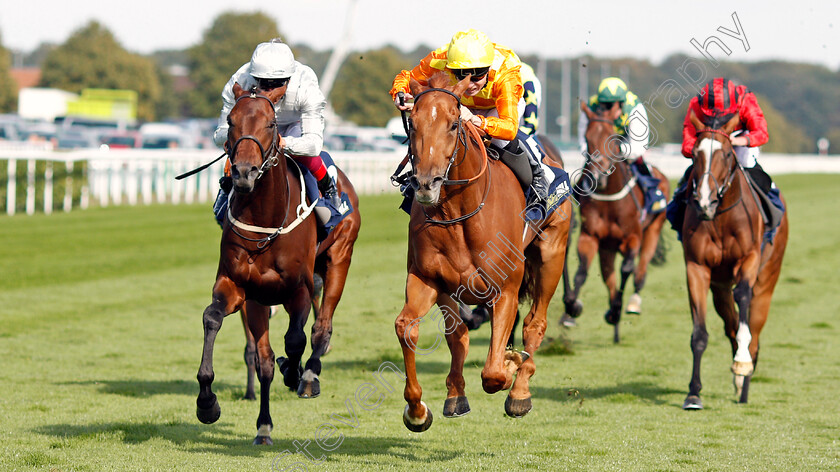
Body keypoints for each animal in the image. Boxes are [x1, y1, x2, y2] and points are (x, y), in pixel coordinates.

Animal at [197, 83, 360, 444]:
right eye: (230, 120)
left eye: (271, 124)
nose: (243, 173)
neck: (266, 221)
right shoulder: (241, 288)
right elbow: (216, 321)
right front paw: (208, 404)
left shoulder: (298, 289)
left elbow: (296, 339)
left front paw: (295, 372)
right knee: (269, 355)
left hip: (339, 258)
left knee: (321, 327)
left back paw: (309, 374)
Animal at [398, 73, 576, 432]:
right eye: (413, 124)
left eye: (454, 124)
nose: (425, 184)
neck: (459, 213)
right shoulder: (428, 279)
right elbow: (411, 327)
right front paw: (419, 409)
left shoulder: (505, 288)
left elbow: (493, 373)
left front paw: (510, 364)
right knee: (460, 333)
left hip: (552, 254)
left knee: (535, 324)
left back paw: (520, 390)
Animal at [568, 101, 672, 342]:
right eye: (587, 137)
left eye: (611, 136)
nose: (597, 176)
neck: (609, 198)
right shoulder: (590, 236)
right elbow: (582, 271)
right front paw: (572, 308)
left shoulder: (632, 237)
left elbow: (627, 268)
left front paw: (616, 309)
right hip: (607, 247)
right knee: (610, 279)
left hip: (652, 230)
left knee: (640, 272)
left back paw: (631, 304)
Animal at [684, 111, 788, 410]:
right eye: (694, 154)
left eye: (728, 154)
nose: (703, 201)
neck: (719, 219)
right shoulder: (697, 267)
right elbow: (699, 334)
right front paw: (693, 393)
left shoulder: (749, 258)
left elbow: (743, 300)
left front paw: (742, 364)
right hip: (719, 288)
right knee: (730, 323)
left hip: (767, 280)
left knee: (753, 331)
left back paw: (744, 377)